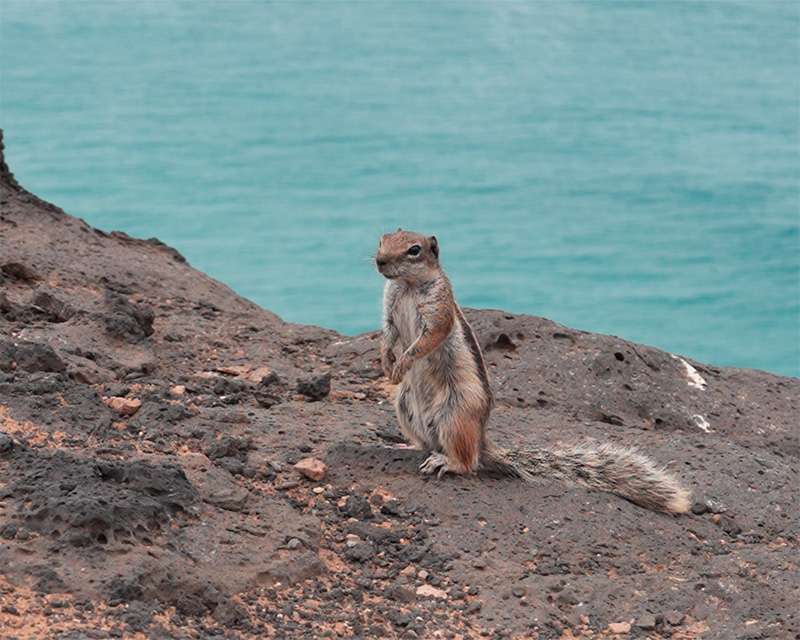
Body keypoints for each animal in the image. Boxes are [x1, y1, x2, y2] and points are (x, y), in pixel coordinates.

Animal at [375, 229, 691, 514]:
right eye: (382, 239)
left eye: (414, 250)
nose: (379, 261)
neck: (407, 285)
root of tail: (481, 440)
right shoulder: (389, 308)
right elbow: (388, 335)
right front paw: (387, 363)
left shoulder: (439, 310)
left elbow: (428, 340)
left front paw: (401, 364)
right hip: (405, 405)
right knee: (428, 443)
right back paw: (408, 447)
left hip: (455, 414)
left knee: (468, 463)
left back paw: (447, 461)